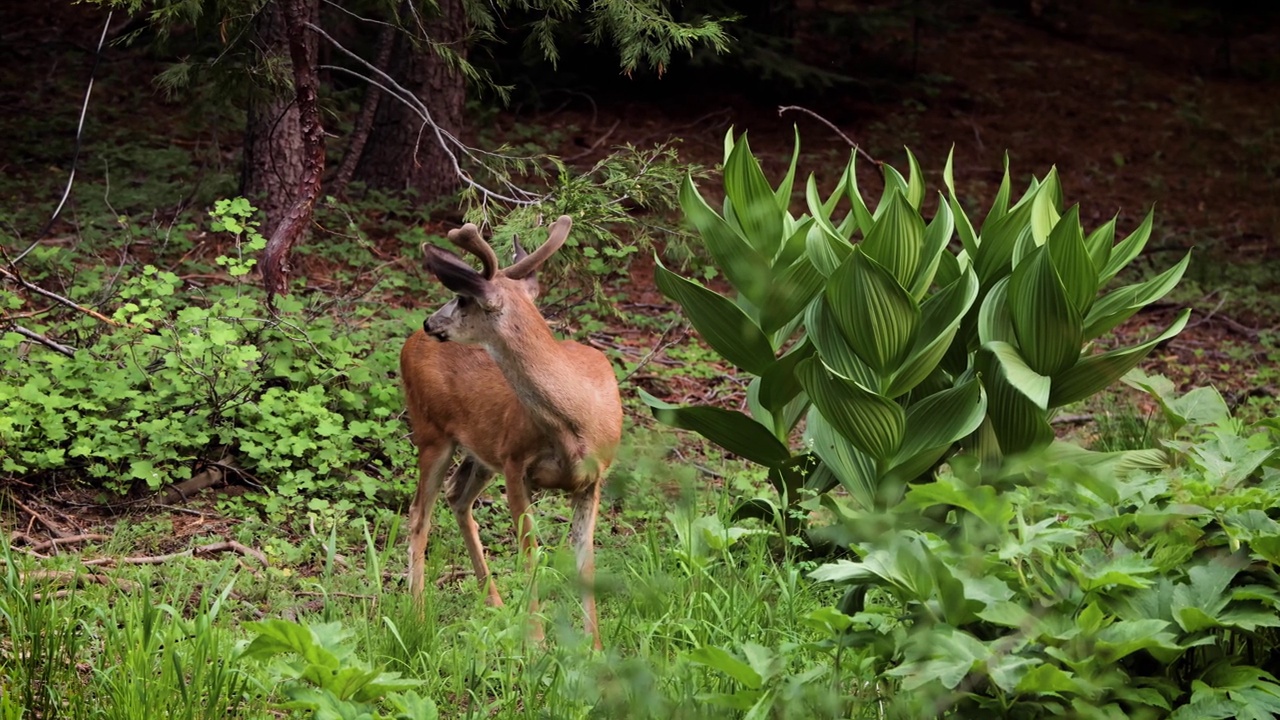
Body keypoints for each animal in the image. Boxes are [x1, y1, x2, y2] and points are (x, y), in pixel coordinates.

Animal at [396, 215, 622, 648]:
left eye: (462, 298)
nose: (429, 321)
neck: (577, 422)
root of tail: (408, 344)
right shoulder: (517, 464)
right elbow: (530, 552)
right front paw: (535, 644)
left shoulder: (594, 479)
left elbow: (586, 561)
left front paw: (595, 648)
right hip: (431, 431)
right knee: (419, 512)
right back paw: (416, 613)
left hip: (481, 451)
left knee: (457, 497)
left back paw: (496, 604)